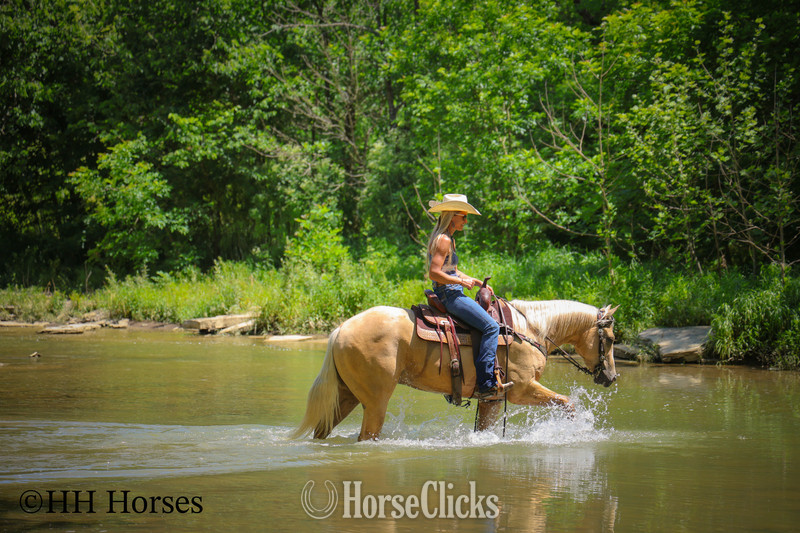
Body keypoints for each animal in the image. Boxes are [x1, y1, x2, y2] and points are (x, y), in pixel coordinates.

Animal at [293, 300, 619, 441]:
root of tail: (341, 329)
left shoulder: (491, 399)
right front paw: (577, 430)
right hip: (375, 402)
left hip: (346, 396)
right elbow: (568, 403)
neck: (530, 330)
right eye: (612, 338)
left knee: (322, 432)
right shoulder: (523, 390)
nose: (611, 377)